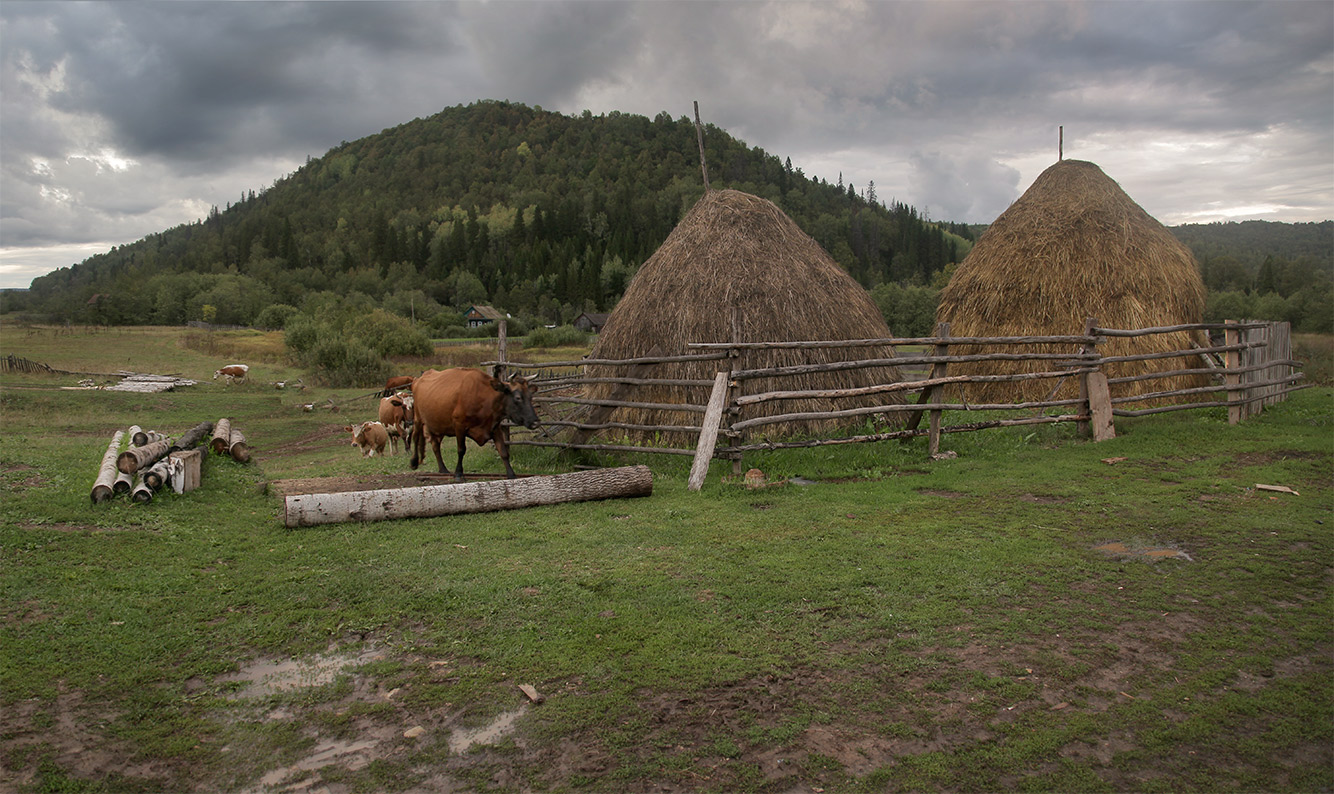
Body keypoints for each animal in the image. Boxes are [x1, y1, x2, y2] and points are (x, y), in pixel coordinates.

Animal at [413, 368, 544, 485]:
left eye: (530, 397)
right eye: (518, 398)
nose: (535, 422)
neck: (484, 398)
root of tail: (418, 379)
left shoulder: (495, 427)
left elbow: (503, 452)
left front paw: (511, 475)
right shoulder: (459, 425)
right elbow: (461, 450)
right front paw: (458, 474)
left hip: (438, 426)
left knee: (435, 445)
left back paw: (443, 469)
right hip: (418, 419)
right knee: (416, 439)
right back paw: (414, 463)